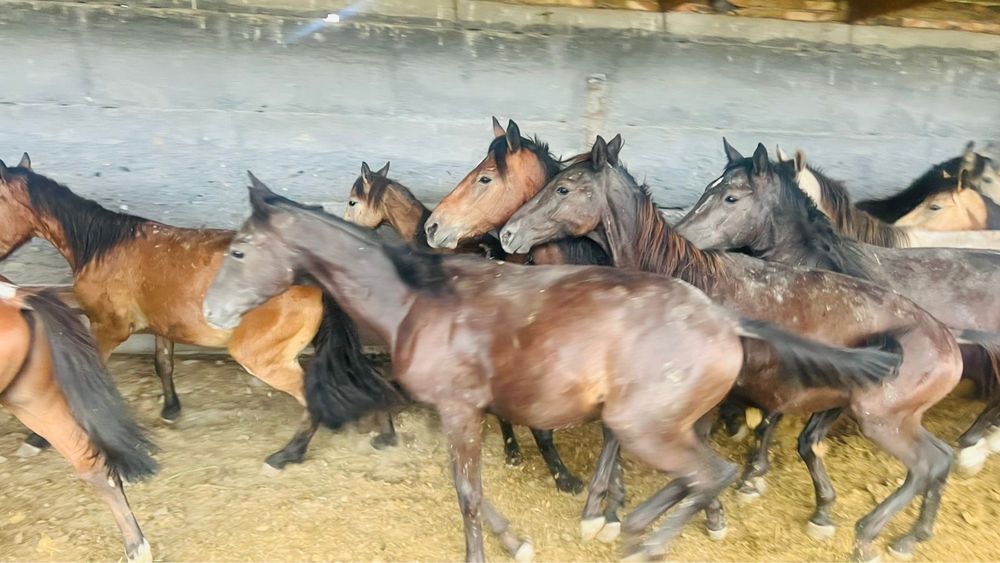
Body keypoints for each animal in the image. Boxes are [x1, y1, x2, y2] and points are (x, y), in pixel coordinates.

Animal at [0, 155, 383, 470]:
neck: (105, 246)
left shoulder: (108, 327)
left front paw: (37, 439)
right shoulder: (160, 324)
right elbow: (163, 364)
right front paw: (171, 409)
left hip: (261, 357)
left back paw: (288, 454)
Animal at [500, 136, 964, 562]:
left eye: (564, 188)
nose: (507, 232)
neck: (684, 281)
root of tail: (948, 343)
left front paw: (639, 514)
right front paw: (609, 510)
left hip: (880, 419)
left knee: (925, 464)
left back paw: (868, 533)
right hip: (893, 417)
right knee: (941, 458)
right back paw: (910, 535)